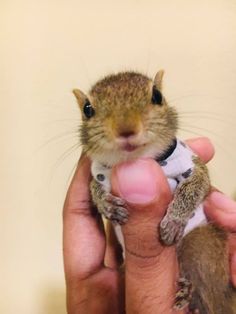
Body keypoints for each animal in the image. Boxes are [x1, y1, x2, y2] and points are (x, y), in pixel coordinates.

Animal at [73, 72, 236, 314]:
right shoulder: (100, 173)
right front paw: (107, 206)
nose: (126, 129)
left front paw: (173, 222)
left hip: (200, 245)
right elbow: (94, 188)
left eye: (157, 96)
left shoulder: (190, 164)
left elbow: (196, 186)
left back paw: (189, 294)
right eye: (87, 109)